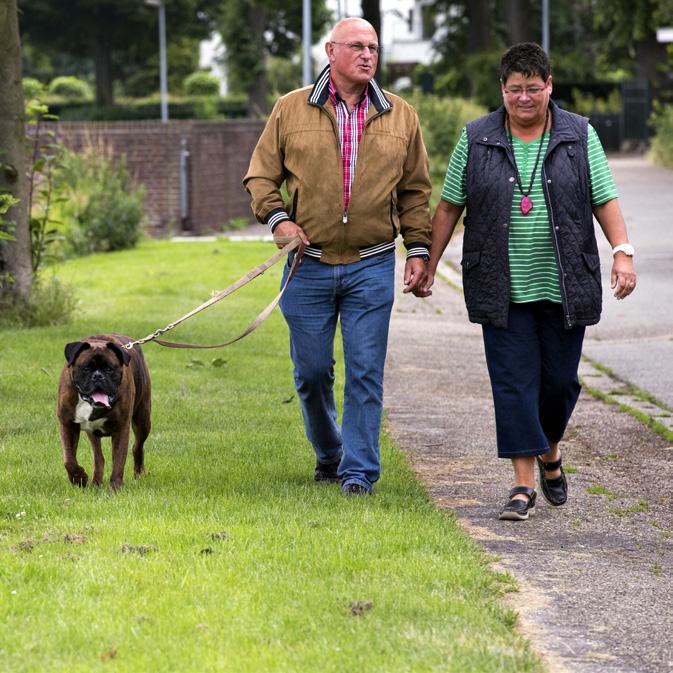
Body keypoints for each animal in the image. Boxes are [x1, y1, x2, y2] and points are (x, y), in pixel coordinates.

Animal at [57, 334, 151, 488]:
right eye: (86, 368)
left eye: (109, 369)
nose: (98, 376)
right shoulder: (67, 425)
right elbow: (69, 459)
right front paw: (79, 478)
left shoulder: (121, 428)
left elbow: (118, 460)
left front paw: (115, 487)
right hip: (93, 433)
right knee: (98, 458)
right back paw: (96, 482)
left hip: (142, 420)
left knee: (137, 447)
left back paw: (139, 474)